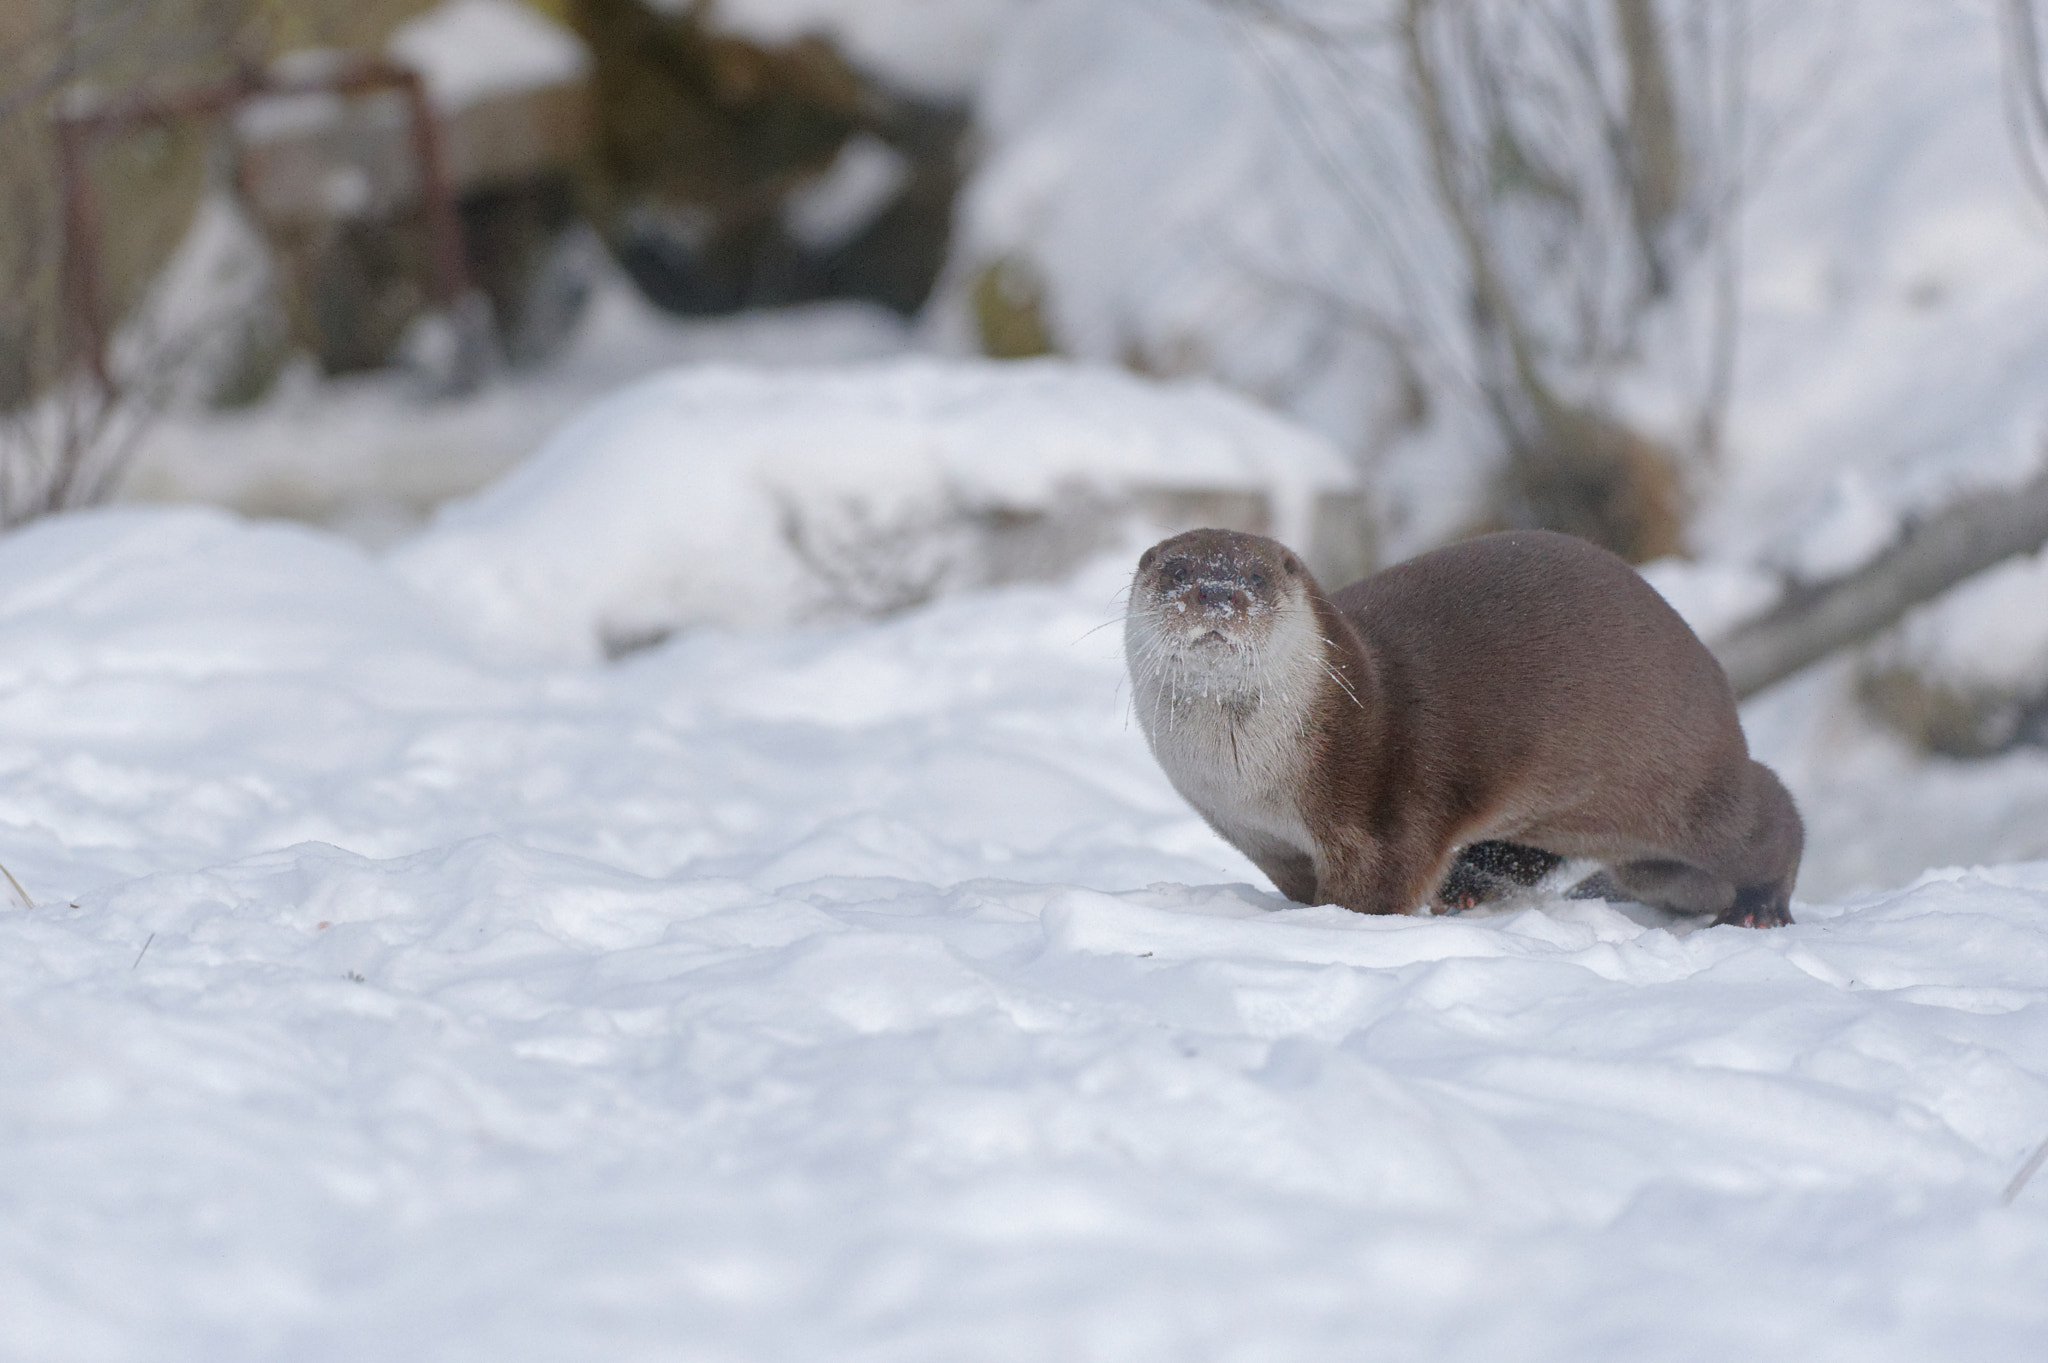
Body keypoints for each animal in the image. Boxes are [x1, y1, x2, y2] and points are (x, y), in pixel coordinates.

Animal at [1123, 528, 1802, 927]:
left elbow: (1379, 887)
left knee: (1770, 814)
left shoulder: (1382, 810)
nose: (1216, 594)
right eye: (1176, 572)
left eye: (1257, 577)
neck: (1247, 780)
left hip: (1687, 785)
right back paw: (1467, 888)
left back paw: (1759, 908)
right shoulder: (1263, 840)